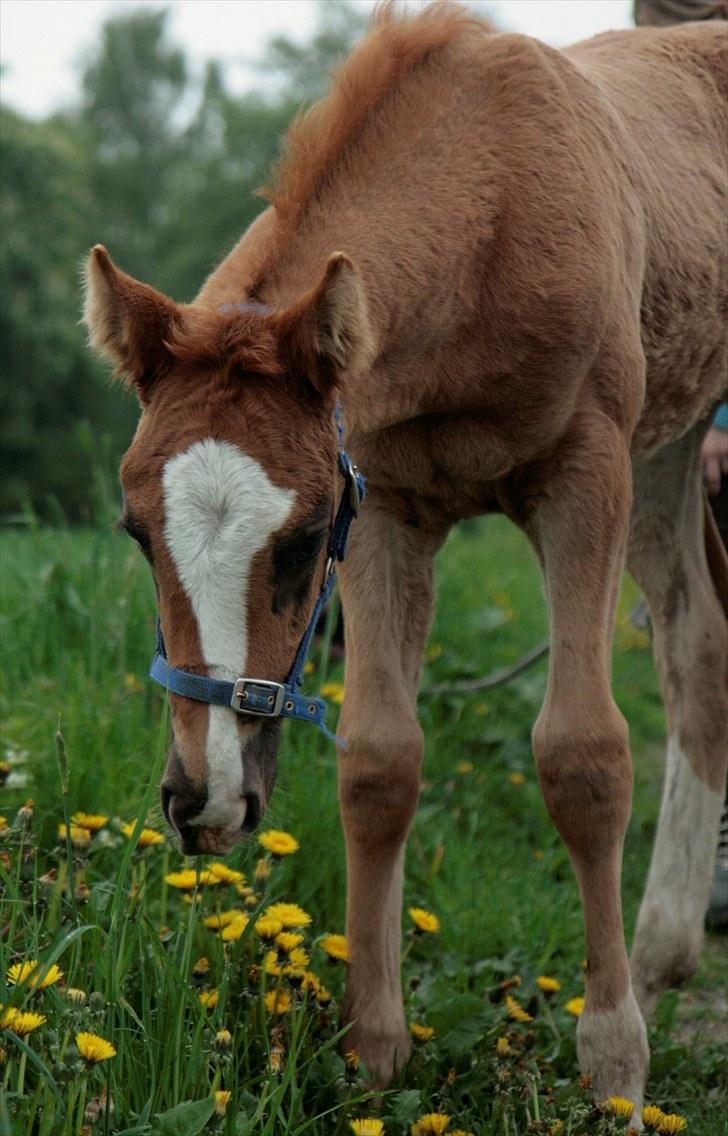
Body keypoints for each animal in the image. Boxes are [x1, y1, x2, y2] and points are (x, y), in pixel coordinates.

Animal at [86, 2, 726, 1117]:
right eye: (135, 530)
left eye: (299, 539)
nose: (201, 800)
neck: (496, 206)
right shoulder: (385, 503)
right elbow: (379, 758)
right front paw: (374, 1048)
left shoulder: (583, 471)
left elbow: (583, 754)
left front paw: (612, 1065)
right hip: (670, 443)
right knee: (697, 640)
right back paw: (657, 955)